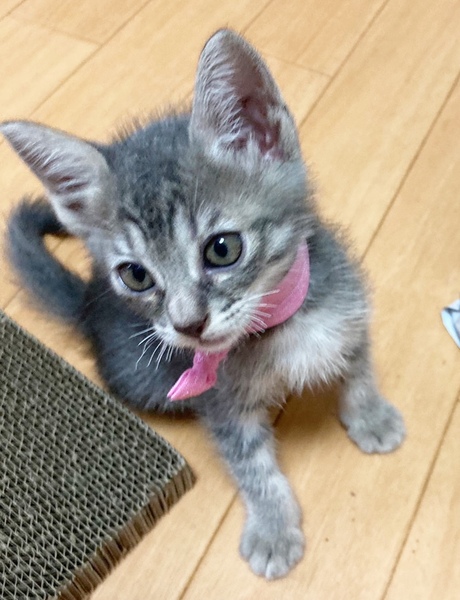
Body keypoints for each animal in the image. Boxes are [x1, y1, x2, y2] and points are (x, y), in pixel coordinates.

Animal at [1, 29, 405, 579]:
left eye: (222, 248)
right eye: (136, 275)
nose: (187, 324)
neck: (273, 329)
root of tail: (88, 303)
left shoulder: (347, 302)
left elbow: (358, 365)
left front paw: (371, 415)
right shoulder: (218, 404)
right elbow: (251, 464)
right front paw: (273, 528)